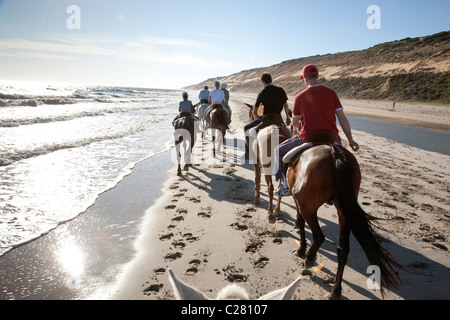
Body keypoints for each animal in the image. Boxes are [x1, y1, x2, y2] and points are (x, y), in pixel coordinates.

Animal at [284, 134, 402, 298]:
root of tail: (336, 155)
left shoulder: (297, 201)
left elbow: (300, 222)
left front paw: (301, 249)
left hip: (307, 206)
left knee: (319, 236)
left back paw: (309, 258)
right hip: (344, 212)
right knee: (343, 249)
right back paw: (335, 291)